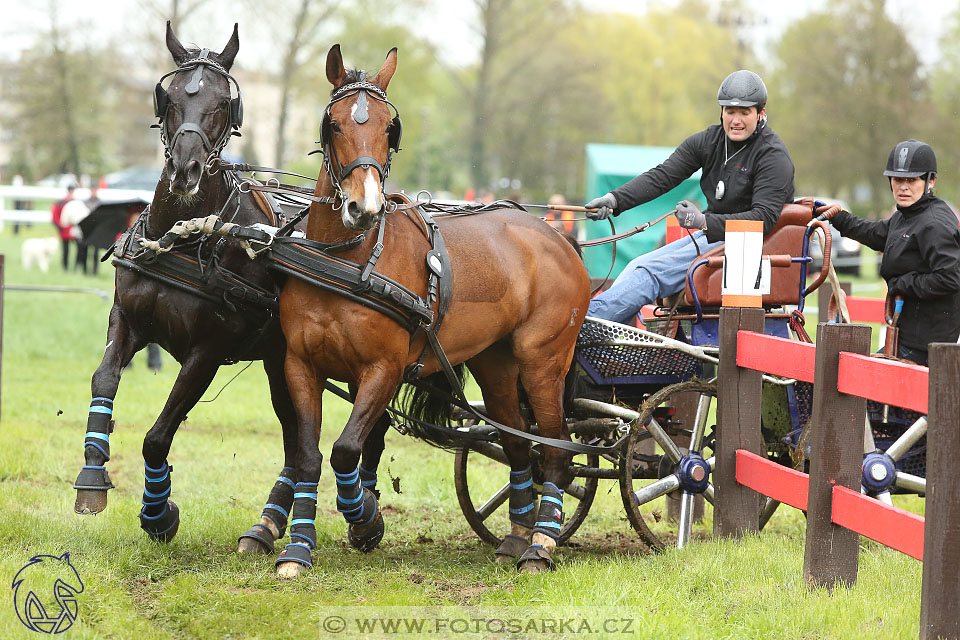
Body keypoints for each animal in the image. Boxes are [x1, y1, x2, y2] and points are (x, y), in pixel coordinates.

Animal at [72, 23, 334, 556]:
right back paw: (269, 525)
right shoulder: (127, 318)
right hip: (279, 361)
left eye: (221, 104)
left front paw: (159, 513)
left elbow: (158, 436)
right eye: (170, 97)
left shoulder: (207, 351)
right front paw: (92, 472)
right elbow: (103, 379)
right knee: (295, 437)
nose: (185, 170)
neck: (186, 235)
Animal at [276, 43, 592, 576]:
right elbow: (308, 456)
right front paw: (298, 547)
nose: (364, 206)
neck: (347, 257)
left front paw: (365, 520)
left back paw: (541, 544)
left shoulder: (383, 369)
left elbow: (346, 450)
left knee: (556, 448)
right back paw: (516, 535)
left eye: (390, 128)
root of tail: (556, 235)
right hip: (495, 362)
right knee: (516, 441)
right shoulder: (301, 364)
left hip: (542, 361)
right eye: (333, 124)